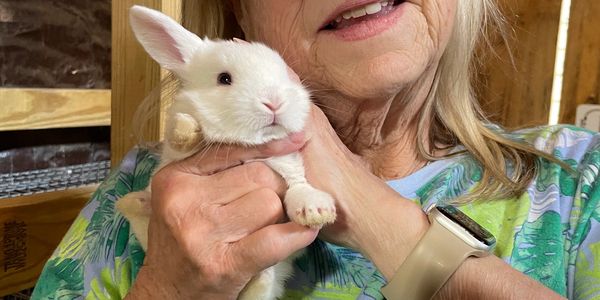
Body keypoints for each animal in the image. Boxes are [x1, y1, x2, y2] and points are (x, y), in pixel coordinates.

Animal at [115, 5, 336, 300]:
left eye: (283, 75)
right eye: (224, 79)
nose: (274, 102)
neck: (249, 144)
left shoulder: (286, 162)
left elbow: (297, 184)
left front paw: (316, 210)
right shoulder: (175, 151)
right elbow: (179, 136)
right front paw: (187, 130)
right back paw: (136, 203)